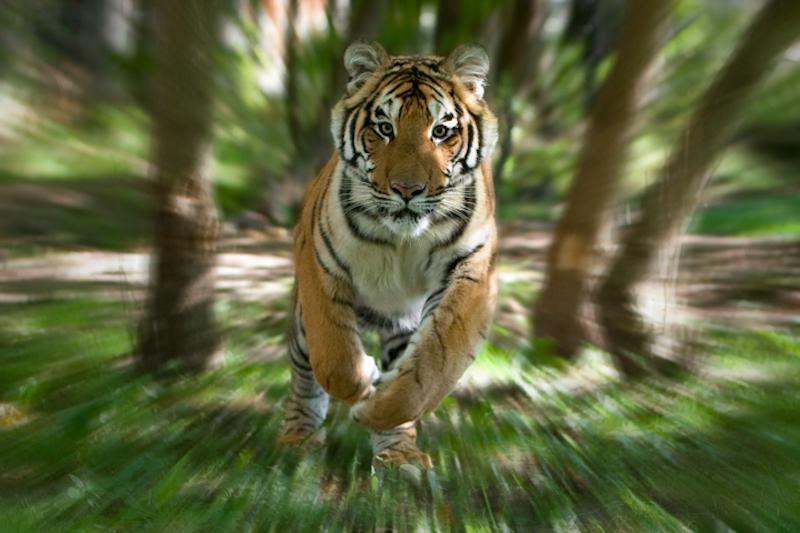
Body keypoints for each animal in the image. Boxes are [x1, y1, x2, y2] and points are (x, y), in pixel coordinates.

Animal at [278, 41, 498, 470]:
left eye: (440, 131)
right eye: (384, 128)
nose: (407, 190)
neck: (404, 239)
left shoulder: (473, 271)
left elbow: (433, 367)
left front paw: (375, 410)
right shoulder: (319, 262)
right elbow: (333, 357)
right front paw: (362, 379)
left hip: (404, 324)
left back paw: (399, 455)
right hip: (300, 323)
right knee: (304, 374)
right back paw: (298, 437)